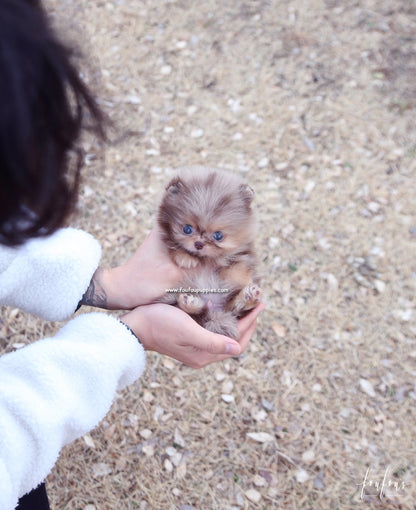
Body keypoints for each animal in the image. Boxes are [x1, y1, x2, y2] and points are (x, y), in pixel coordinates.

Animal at [158, 167, 262, 338]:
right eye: (187, 229)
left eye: (218, 236)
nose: (199, 244)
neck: (206, 259)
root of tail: (215, 311)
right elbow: (172, 243)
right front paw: (186, 258)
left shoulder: (242, 252)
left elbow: (237, 267)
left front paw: (239, 280)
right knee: (194, 313)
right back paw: (190, 302)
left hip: (228, 307)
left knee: (235, 309)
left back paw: (249, 297)